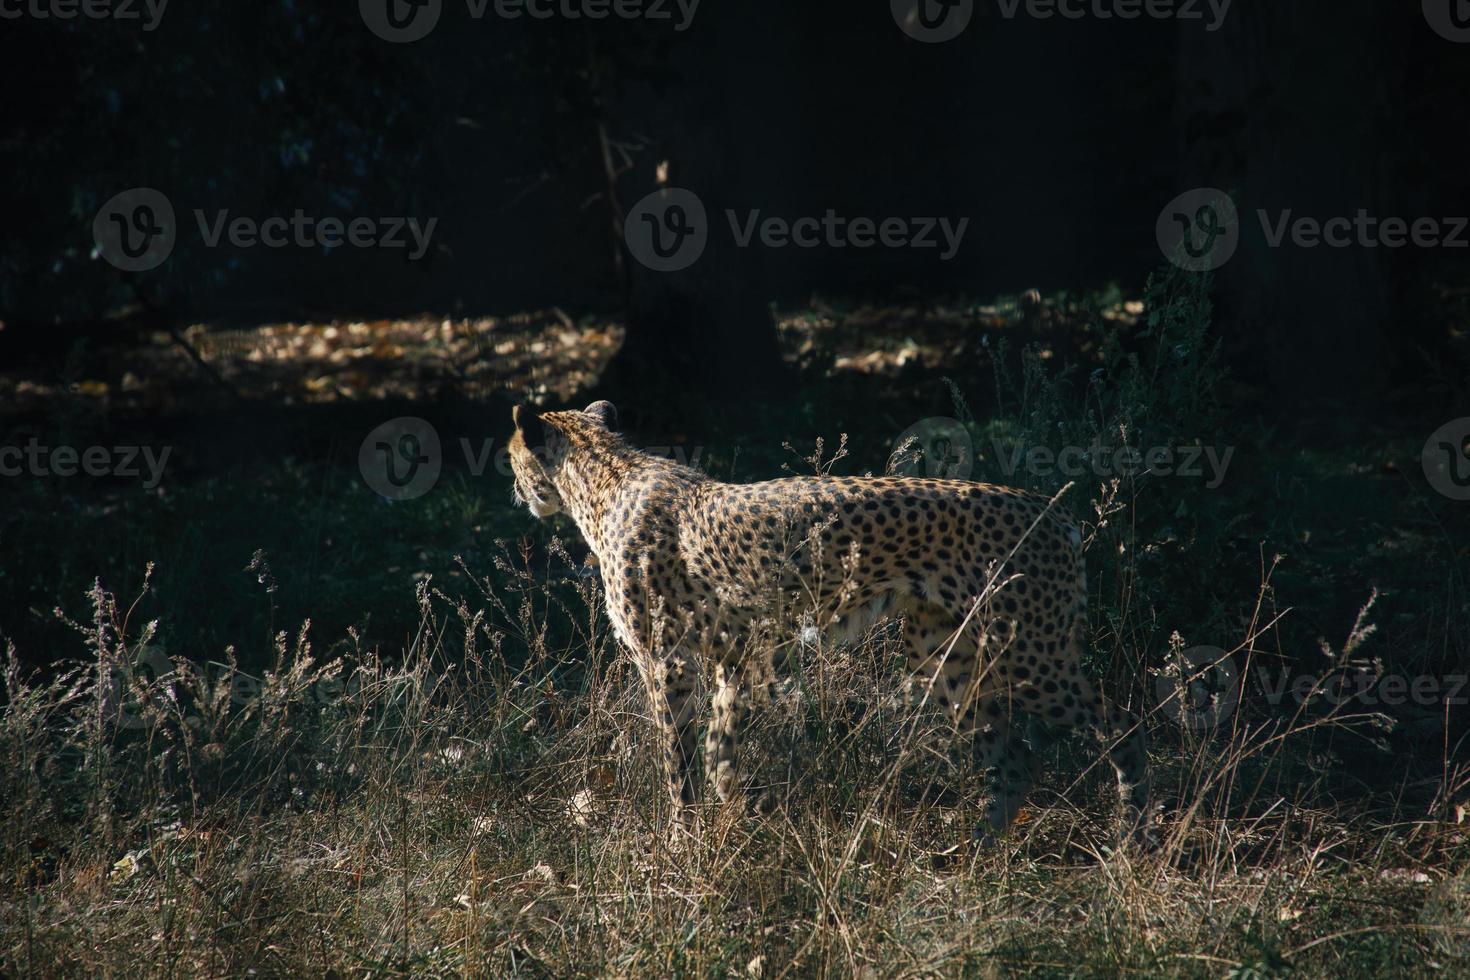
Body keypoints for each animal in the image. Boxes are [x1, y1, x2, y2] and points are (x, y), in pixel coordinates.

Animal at [511, 402, 1152, 846]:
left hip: (1030, 654)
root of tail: (1056, 512)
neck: (607, 473)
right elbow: (719, 745)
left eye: (514, 459)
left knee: (1122, 724)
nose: (518, 492)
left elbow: (680, 760)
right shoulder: (735, 652)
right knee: (1015, 759)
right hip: (945, 653)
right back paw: (973, 854)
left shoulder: (669, 662)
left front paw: (680, 840)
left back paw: (1135, 840)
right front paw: (739, 808)